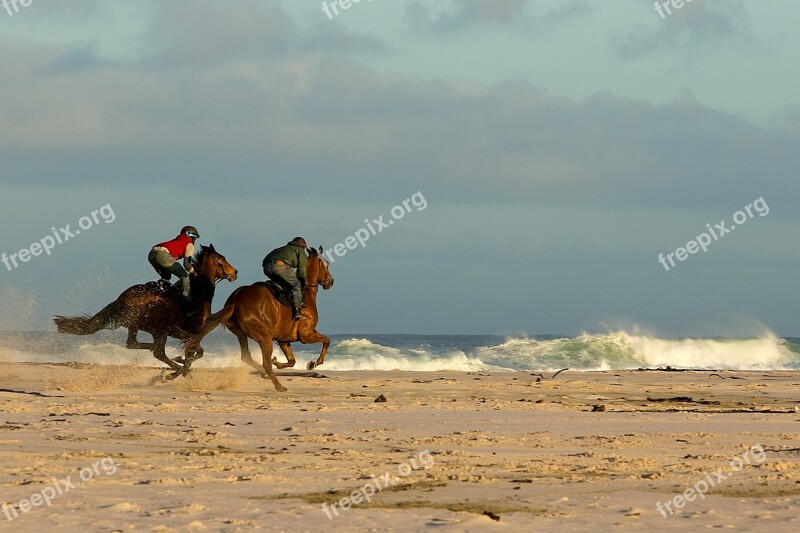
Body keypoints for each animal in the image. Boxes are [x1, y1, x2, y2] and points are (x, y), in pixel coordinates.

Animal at [53, 243, 238, 376]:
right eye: (221, 260)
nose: (235, 272)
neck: (199, 291)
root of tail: (120, 300)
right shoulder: (191, 334)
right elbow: (195, 353)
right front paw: (182, 366)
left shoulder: (189, 335)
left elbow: (194, 354)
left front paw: (181, 362)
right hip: (159, 329)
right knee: (158, 352)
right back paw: (176, 368)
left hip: (136, 326)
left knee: (133, 344)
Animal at [188, 246, 334, 390]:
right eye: (326, 263)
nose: (331, 281)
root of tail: (236, 299)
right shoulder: (306, 335)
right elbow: (326, 340)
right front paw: (314, 363)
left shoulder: (284, 340)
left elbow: (292, 361)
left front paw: (278, 362)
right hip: (265, 337)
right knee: (266, 363)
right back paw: (279, 386)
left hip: (241, 333)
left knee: (247, 356)